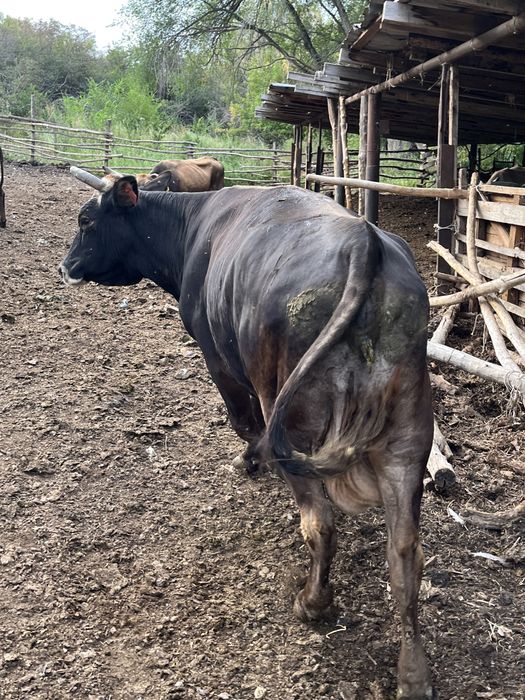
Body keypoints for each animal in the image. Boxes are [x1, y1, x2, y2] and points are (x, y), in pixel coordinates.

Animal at [60, 167, 435, 700]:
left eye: (87, 220)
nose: (66, 265)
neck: (193, 229)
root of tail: (364, 244)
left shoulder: (219, 359)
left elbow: (245, 423)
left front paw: (248, 459)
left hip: (294, 418)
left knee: (319, 521)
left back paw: (313, 602)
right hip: (407, 440)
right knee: (405, 553)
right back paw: (413, 674)